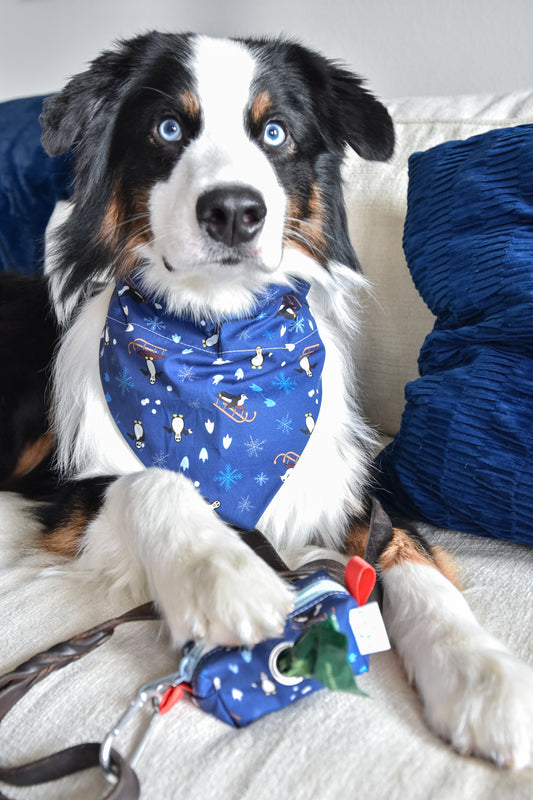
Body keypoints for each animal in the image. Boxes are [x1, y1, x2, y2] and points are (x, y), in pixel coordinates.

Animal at [1, 32, 532, 768]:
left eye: (274, 132)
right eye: (168, 129)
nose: (233, 211)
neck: (217, 336)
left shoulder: (347, 483)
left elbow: (409, 554)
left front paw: (480, 675)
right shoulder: (75, 506)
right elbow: (153, 482)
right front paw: (222, 574)